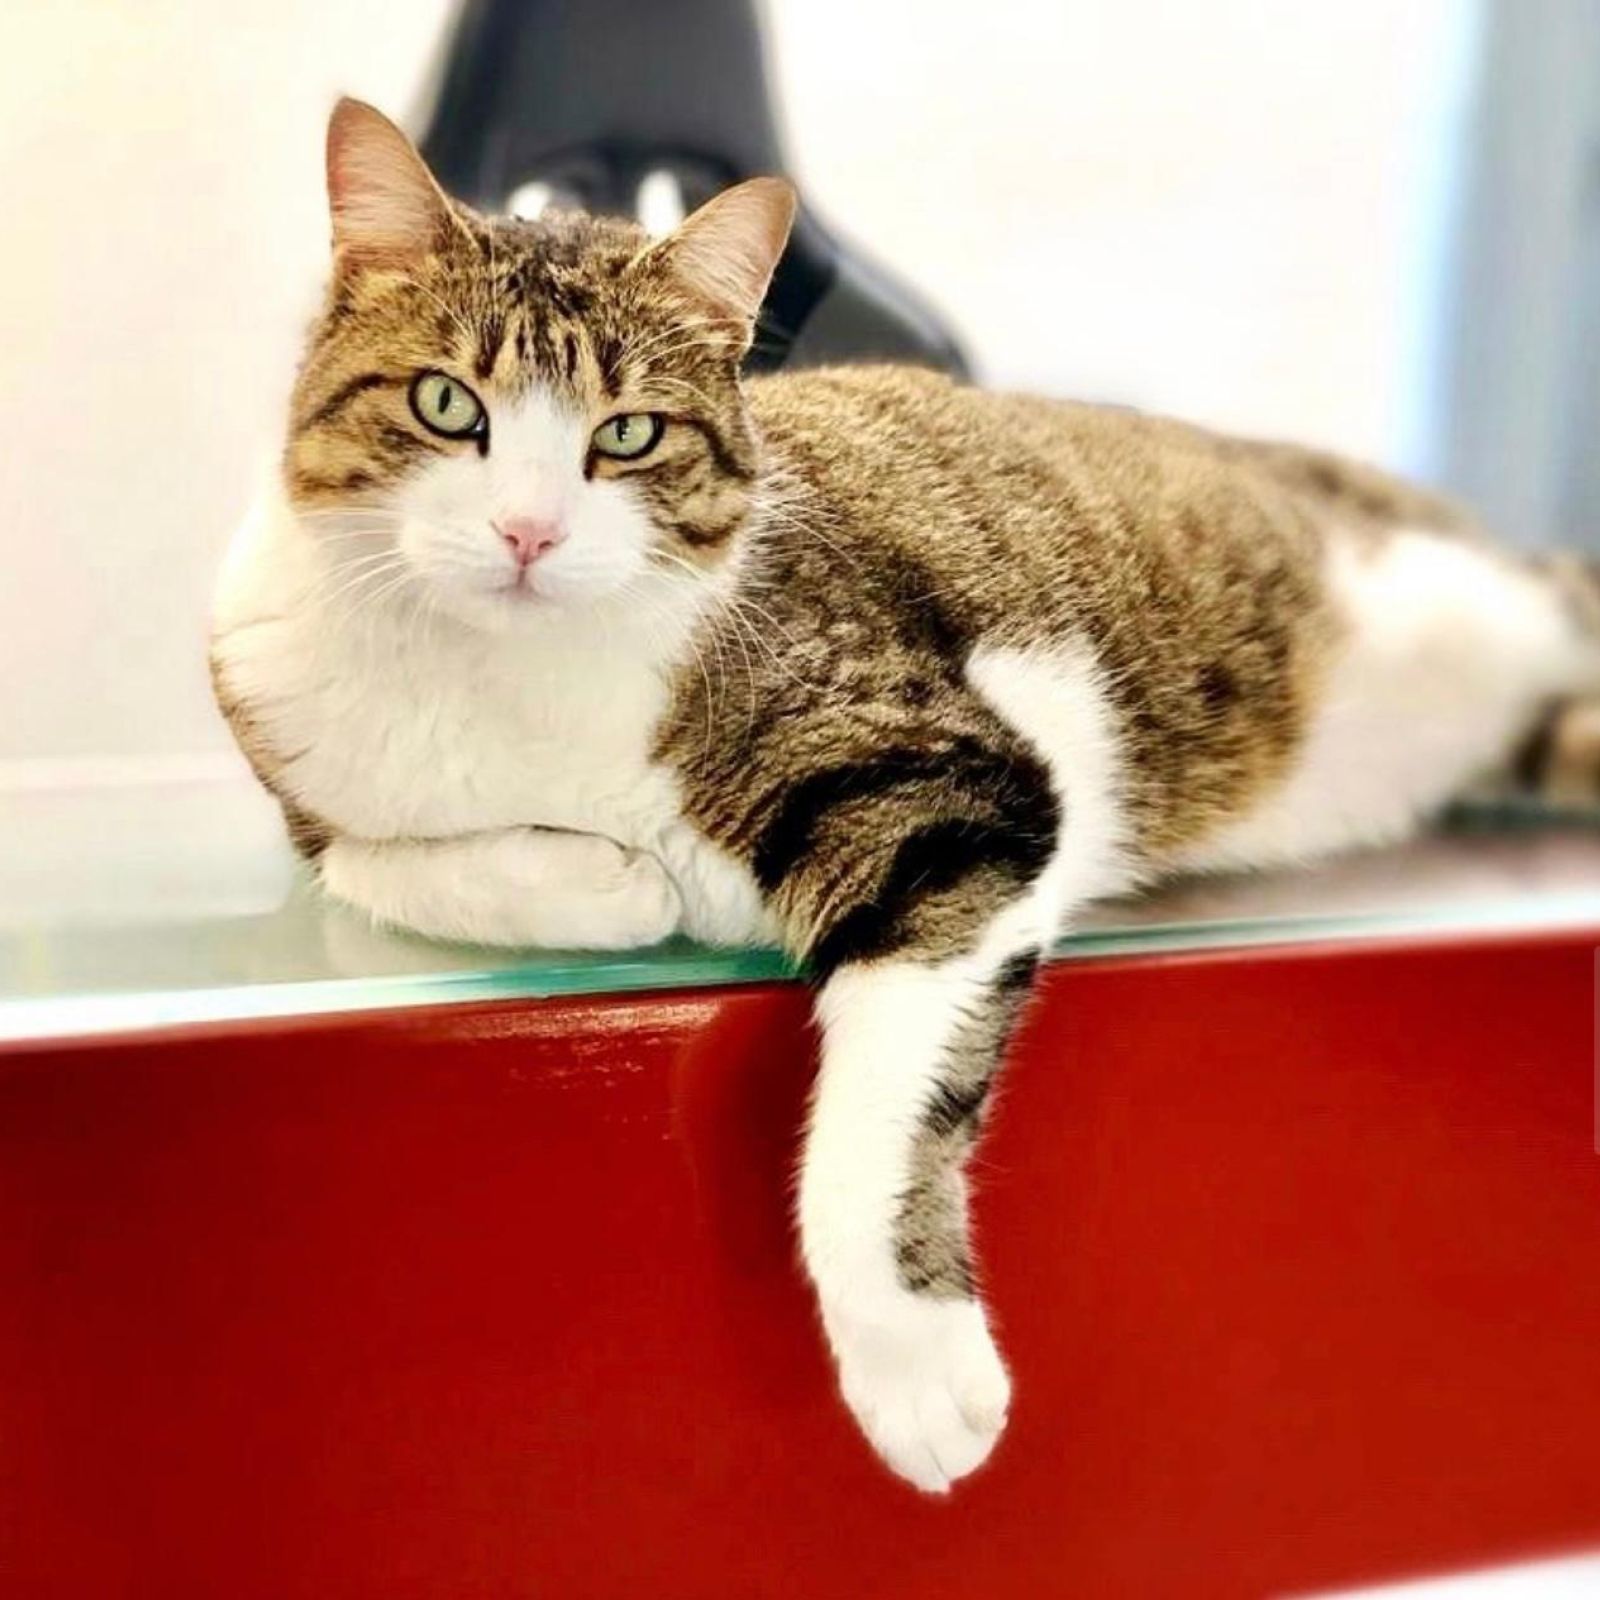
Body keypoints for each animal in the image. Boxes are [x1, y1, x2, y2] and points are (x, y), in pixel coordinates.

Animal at [212, 98, 1600, 1493]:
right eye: (447, 402)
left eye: (628, 434)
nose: (528, 535)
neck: (509, 673)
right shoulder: (283, 727)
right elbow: (377, 859)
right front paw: (611, 879)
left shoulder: (952, 788)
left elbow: (886, 1095)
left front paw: (913, 1360)